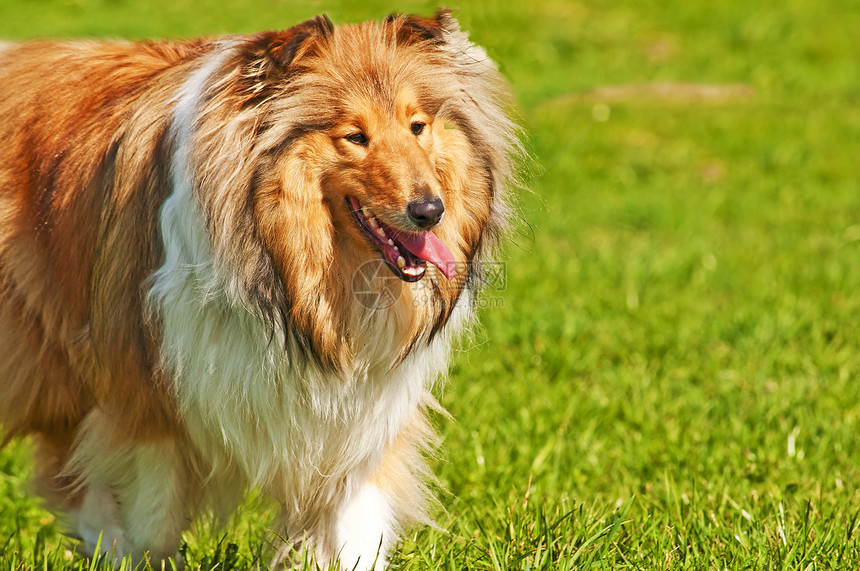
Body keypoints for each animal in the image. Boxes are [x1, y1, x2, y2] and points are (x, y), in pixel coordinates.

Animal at [0, 11, 516, 568]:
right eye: (355, 136)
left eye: (418, 126)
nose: (430, 210)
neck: (299, 291)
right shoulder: (145, 395)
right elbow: (151, 521)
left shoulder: (358, 420)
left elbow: (356, 527)